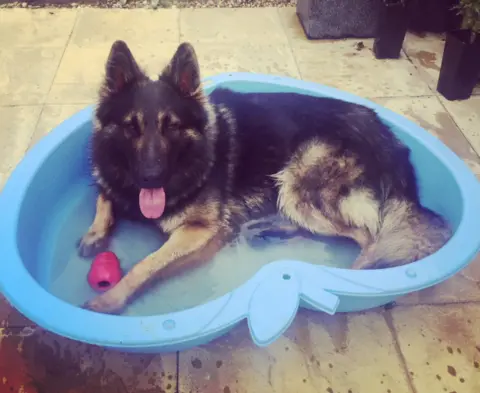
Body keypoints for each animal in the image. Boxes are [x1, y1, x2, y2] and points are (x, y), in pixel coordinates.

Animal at [78, 41, 450, 314]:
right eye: (131, 127)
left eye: (171, 127)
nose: (150, 177)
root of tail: (391, 144)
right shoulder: (112, 178)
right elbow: (104, 194)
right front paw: (95, 232)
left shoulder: (197, 231)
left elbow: (146, 264)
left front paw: (110, 299)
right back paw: (268, 229)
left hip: (300, 178)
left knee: (368, 238)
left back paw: (350, 276)